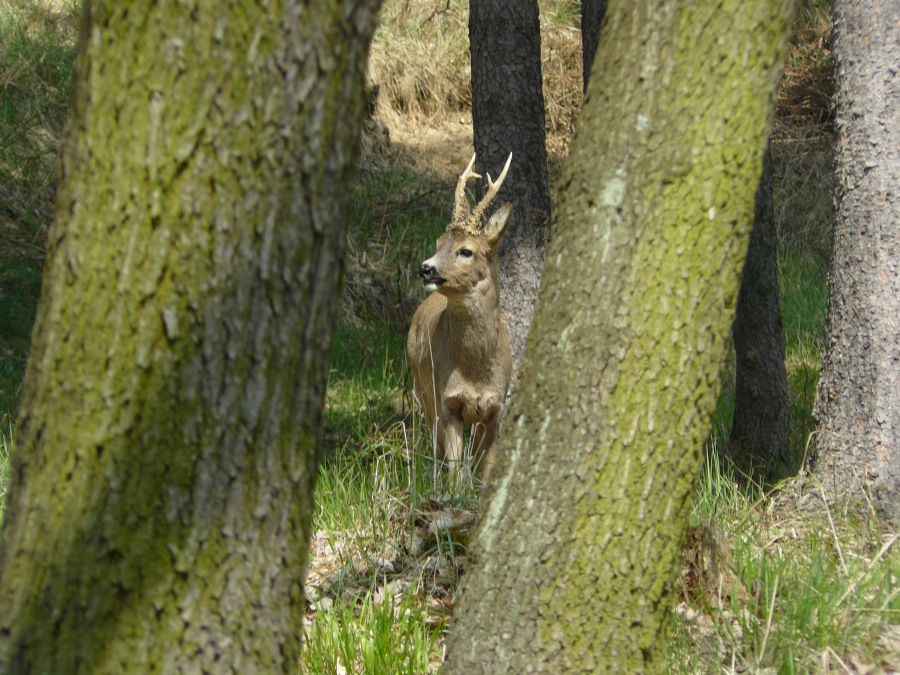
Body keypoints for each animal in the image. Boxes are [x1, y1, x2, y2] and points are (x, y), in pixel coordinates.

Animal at [407, 152, 514, 489]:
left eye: (466, 251)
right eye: (439, 241)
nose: (425, 268)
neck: (475, 371)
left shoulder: (494, 409)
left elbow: (485, 468)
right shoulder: (449, 403)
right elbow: (456, 470)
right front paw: (454, 494)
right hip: (423, 389)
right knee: (436, 447)